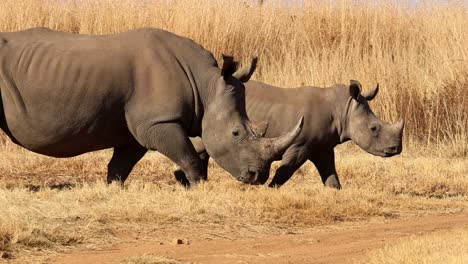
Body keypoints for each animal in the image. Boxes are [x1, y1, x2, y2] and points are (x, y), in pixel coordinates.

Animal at [0, 27, 304, 186]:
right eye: (236, 133)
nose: (257, 176)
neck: (205, 84)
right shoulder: (159, 121)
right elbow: (189, 157)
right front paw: (198, 187)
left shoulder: (139, 127)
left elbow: (120, 165)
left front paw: (112, 189)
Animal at [177, 79, 404, 189]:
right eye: (374, 129)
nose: (396, 149)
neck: (344, 109)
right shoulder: (300, 145)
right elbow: (285, 171)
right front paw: (270, 189)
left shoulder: (322, 146)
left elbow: (330, 174)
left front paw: (335, 191)